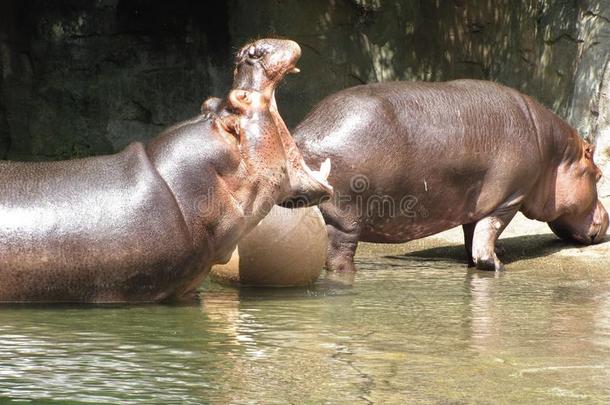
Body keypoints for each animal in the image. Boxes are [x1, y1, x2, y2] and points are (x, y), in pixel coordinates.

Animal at [292, 79, 604, 272]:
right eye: (599, 174)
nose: (607, 218)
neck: (554, 153)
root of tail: (301, 135)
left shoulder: (476, 204)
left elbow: (472, 237)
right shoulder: (510, 198)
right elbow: (487, 235)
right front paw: (497, 264)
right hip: (344, 223)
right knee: (339, 258)